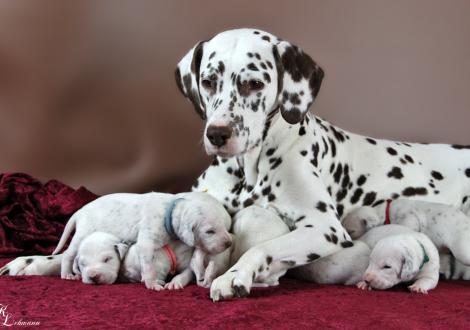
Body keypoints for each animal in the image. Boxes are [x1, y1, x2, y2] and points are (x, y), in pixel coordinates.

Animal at [53, 192, 233, 290]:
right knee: (68, 254)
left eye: (225, 227)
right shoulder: (146, 243)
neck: (170, 210)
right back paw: (67, 274)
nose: (228, 244)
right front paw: (152, 283)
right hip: (83, 233)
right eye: (209, 231)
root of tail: (80, 211)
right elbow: (148, 266)